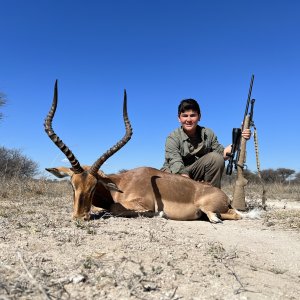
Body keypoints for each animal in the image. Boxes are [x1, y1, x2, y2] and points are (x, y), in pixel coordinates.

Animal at [45, 81, 241, 223]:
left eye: (94, 186)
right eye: (72, 185)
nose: (79, 217)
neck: (121, 184)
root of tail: (223, 195)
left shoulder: (142, 203)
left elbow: (116, 208)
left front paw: (159, 214)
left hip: (208, 208)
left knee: (225, 215)